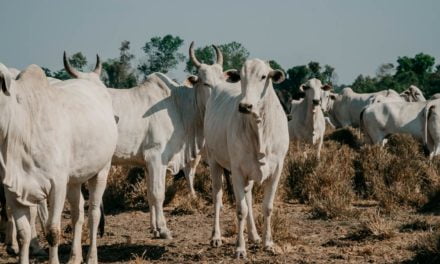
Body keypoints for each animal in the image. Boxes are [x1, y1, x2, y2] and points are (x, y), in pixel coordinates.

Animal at [0, 52, 117, 262]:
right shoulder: (13, 190)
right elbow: (23, 234)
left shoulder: (57, 186)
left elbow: (52, 231)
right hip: (74, 180)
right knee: (78, 213)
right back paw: (74, 257)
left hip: (101, 171)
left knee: (94, 214)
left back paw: (91, 257)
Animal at [204, 58, 288, 258]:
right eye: (241, 77)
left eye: (264, 76)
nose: (245, 106)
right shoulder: (237, 171)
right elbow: (240, 209)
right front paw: (240, 248)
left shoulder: (276, 170)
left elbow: (267, 207)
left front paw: (268, 243)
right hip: (214, 162)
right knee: (217, 197)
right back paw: (216, 237)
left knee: (248, 198)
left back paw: (253, 235)